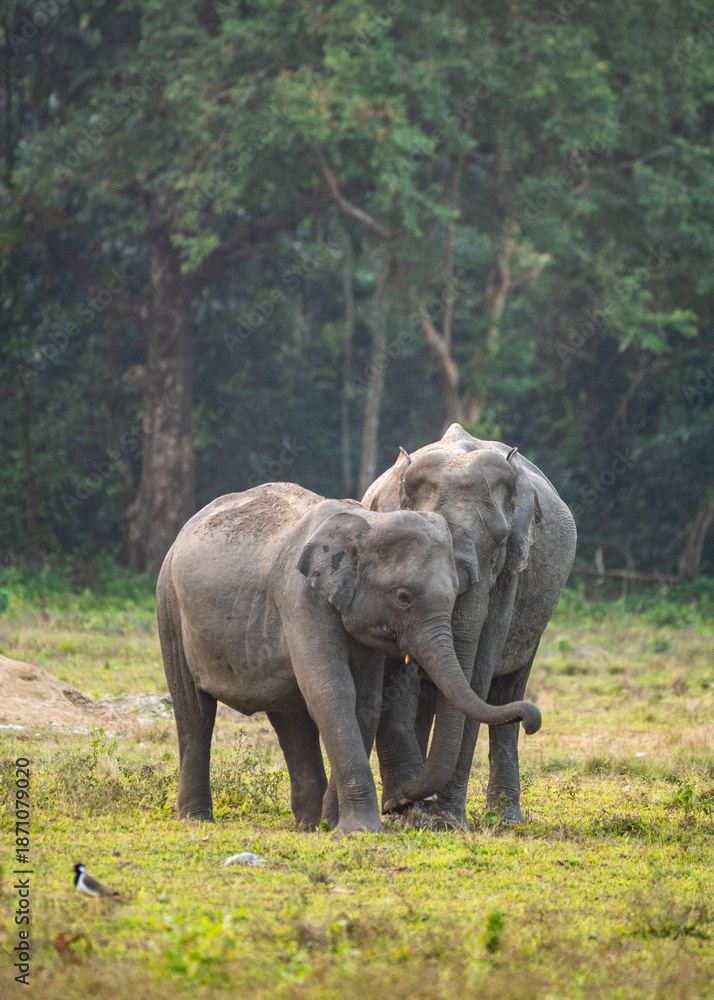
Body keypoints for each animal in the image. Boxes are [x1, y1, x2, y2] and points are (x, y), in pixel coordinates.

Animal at [156, 481, 542, 834]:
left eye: (455, 594)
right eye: (403, 597)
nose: (531, 719)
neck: (367, 523)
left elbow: (365, 702)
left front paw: (334, 824)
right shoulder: (300, 598)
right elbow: (333, 692)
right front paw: (359, 829)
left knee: (290, 718)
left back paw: (309, 825)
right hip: (169, 605)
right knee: (193, 709)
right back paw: (196, 819)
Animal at [363, 423, 577, 824]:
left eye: (500, 544)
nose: (404, 800)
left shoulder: (509, 576)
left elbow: (478, 670)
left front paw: (446, 820)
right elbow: (395, 673)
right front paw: (404, 812)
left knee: (507, 688)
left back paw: (506, 818)